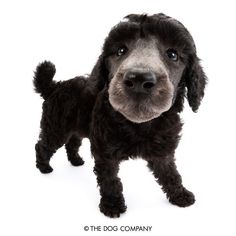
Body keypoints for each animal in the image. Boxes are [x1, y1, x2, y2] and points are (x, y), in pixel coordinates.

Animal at [33, 13, 206, 218]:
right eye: (120, 50)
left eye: (173, 54)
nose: (139, 80)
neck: (139, 125)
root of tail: (54, 87)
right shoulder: (105, 152)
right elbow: (110, 180)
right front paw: (112, 205)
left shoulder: (163, 151)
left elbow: (171, 174)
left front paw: (180, 194)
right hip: (56, 127)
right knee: (43, 144)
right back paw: (44, 167)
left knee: (73, 142)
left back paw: (75, 160)